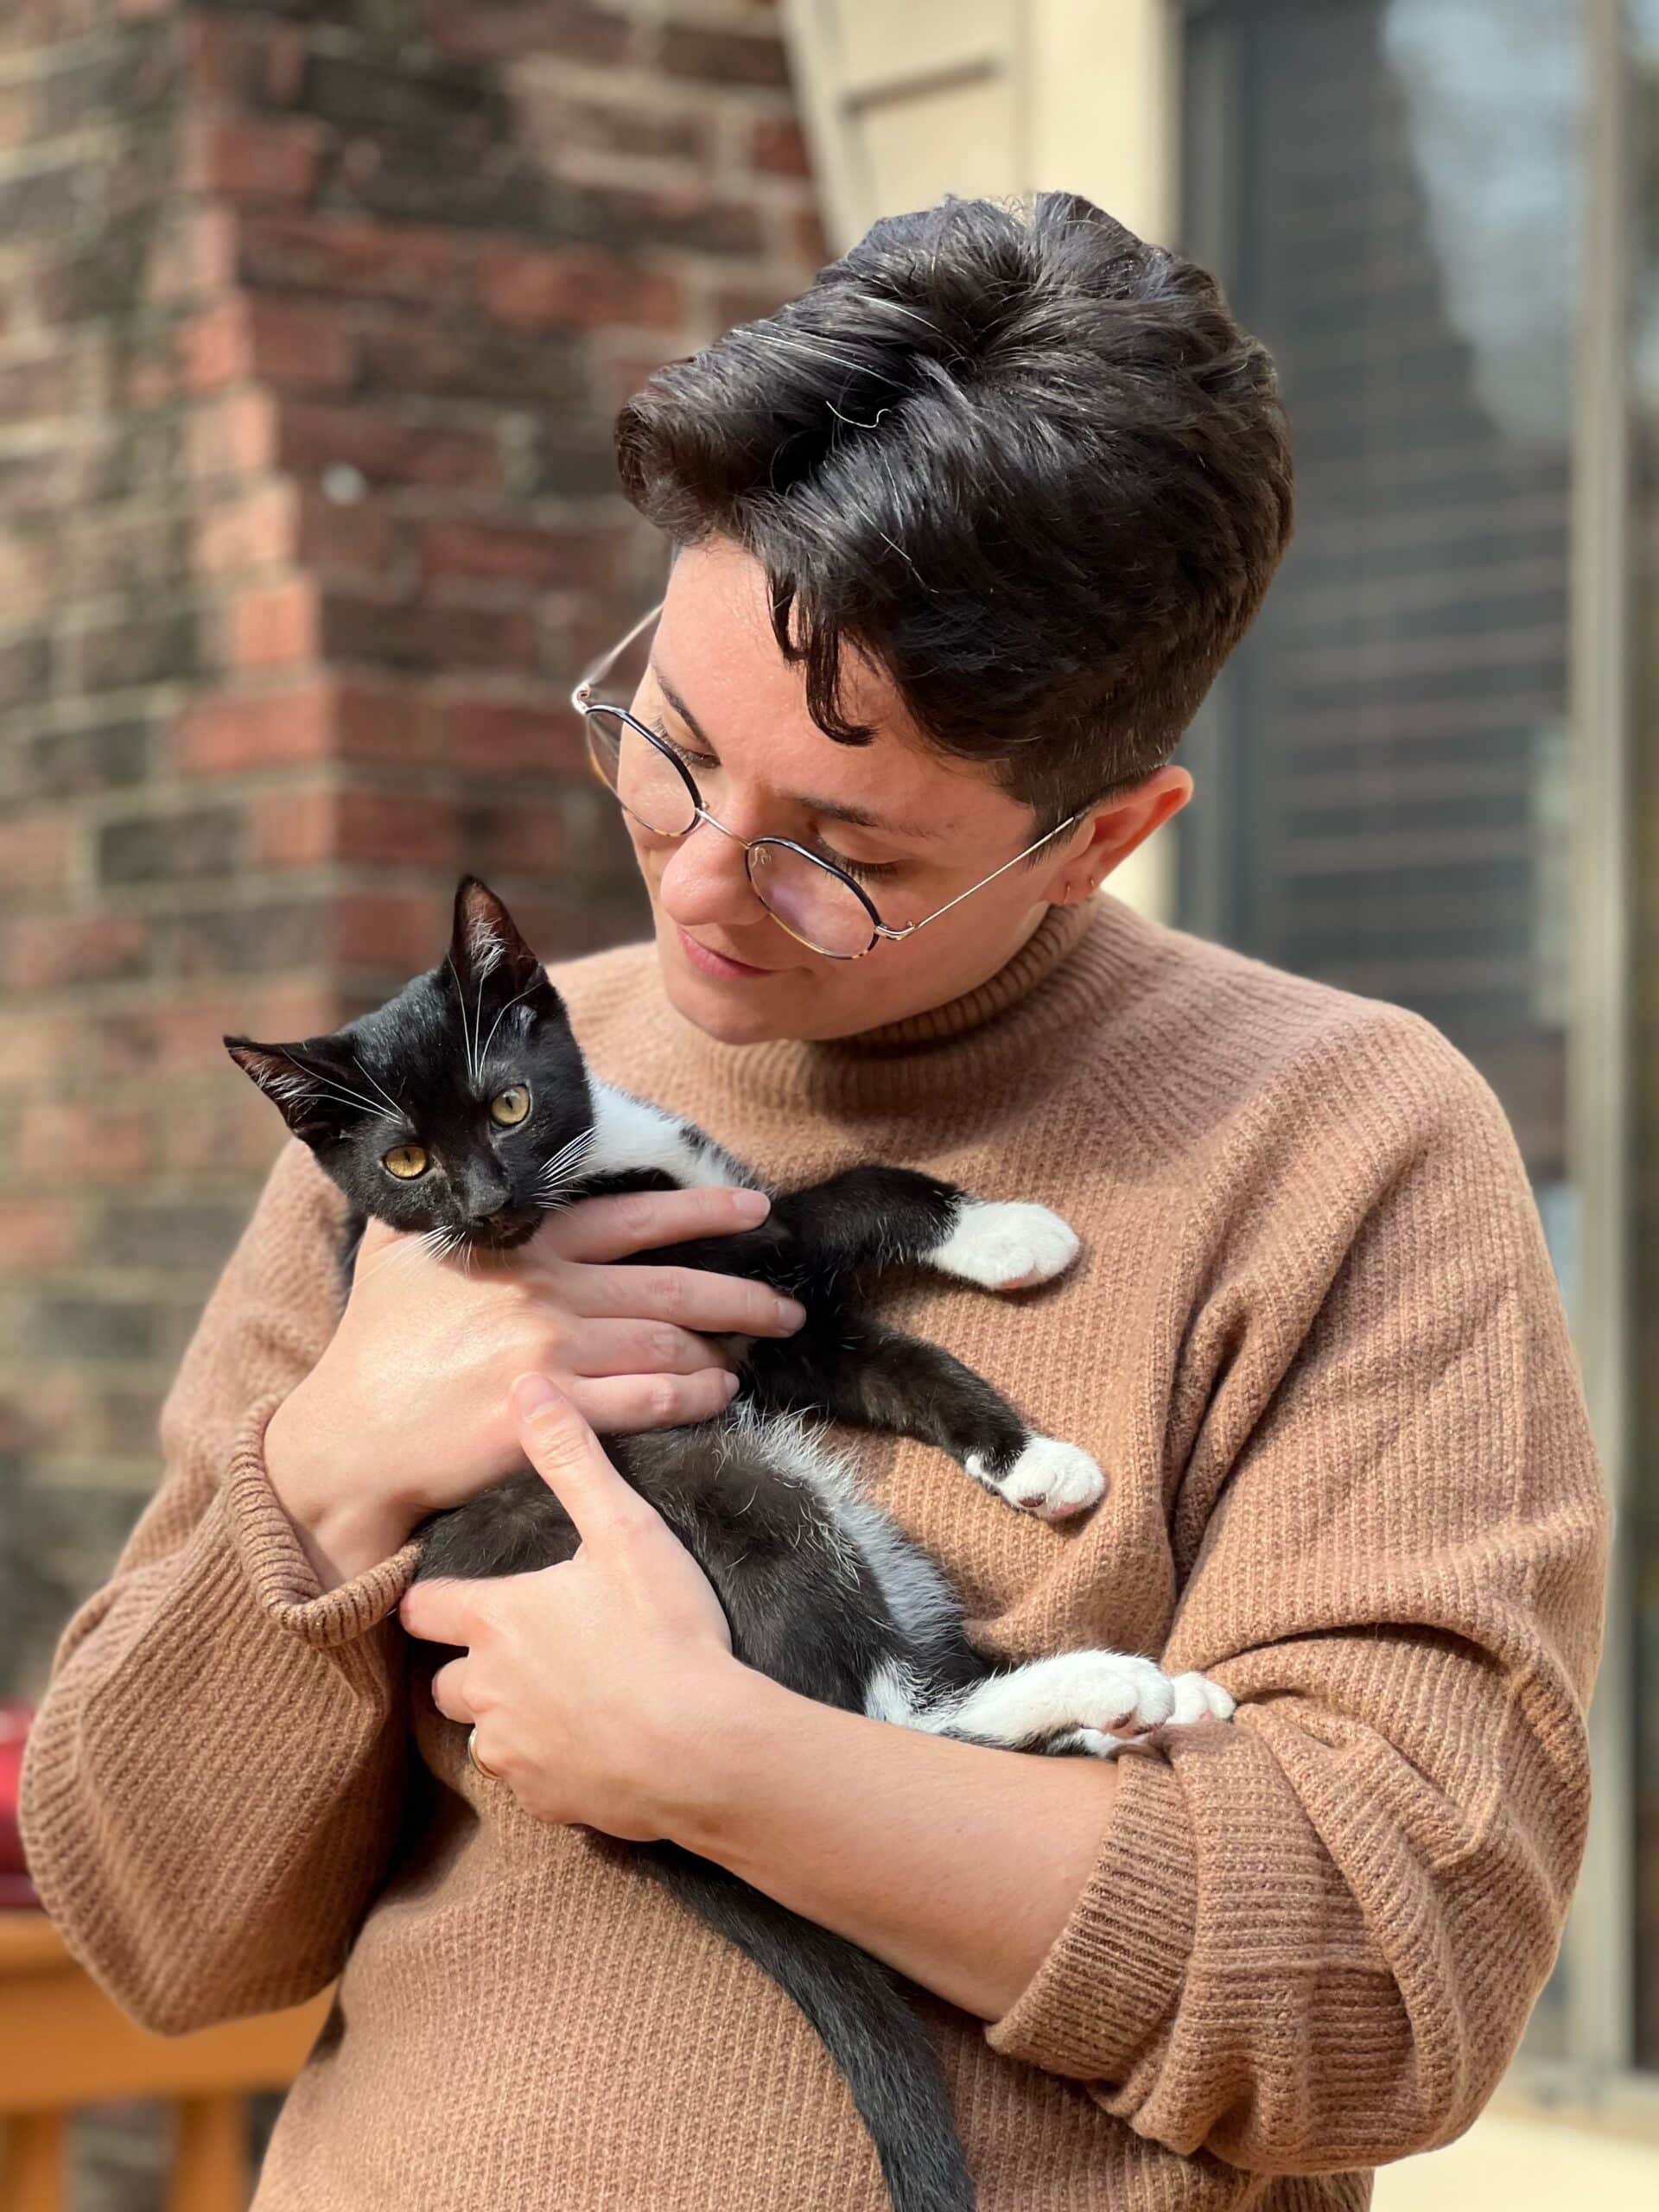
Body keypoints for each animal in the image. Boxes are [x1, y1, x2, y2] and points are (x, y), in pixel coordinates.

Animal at [224, 871, 1238, 2212]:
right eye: (404, 1159)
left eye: (508, 1102)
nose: (489, 1204)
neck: (598, 1164)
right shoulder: (705, 1265)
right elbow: (830, 1198)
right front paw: (1017, 1233)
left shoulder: (769, 1340)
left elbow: (895, 1360)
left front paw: (1030, 1457)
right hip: (738, 1484)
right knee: (884, 1713)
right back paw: (1113, 1688)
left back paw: (1154, 1704)